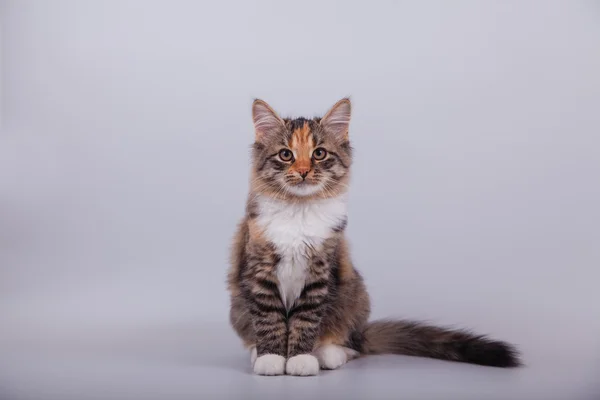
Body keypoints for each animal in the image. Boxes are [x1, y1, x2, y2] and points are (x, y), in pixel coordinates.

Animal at [226, 97, 520, 376]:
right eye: (286, 155)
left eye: (319, 154)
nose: (303, 171)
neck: (299, 209)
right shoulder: (259, 271)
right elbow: (269, 320)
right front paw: (271, 358)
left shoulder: (319, 273)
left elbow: (306, 320)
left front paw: (300, 359)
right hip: (238, 306)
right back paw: (257, 352)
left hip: (354, 295)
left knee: (351, 345)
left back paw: (328, 355)